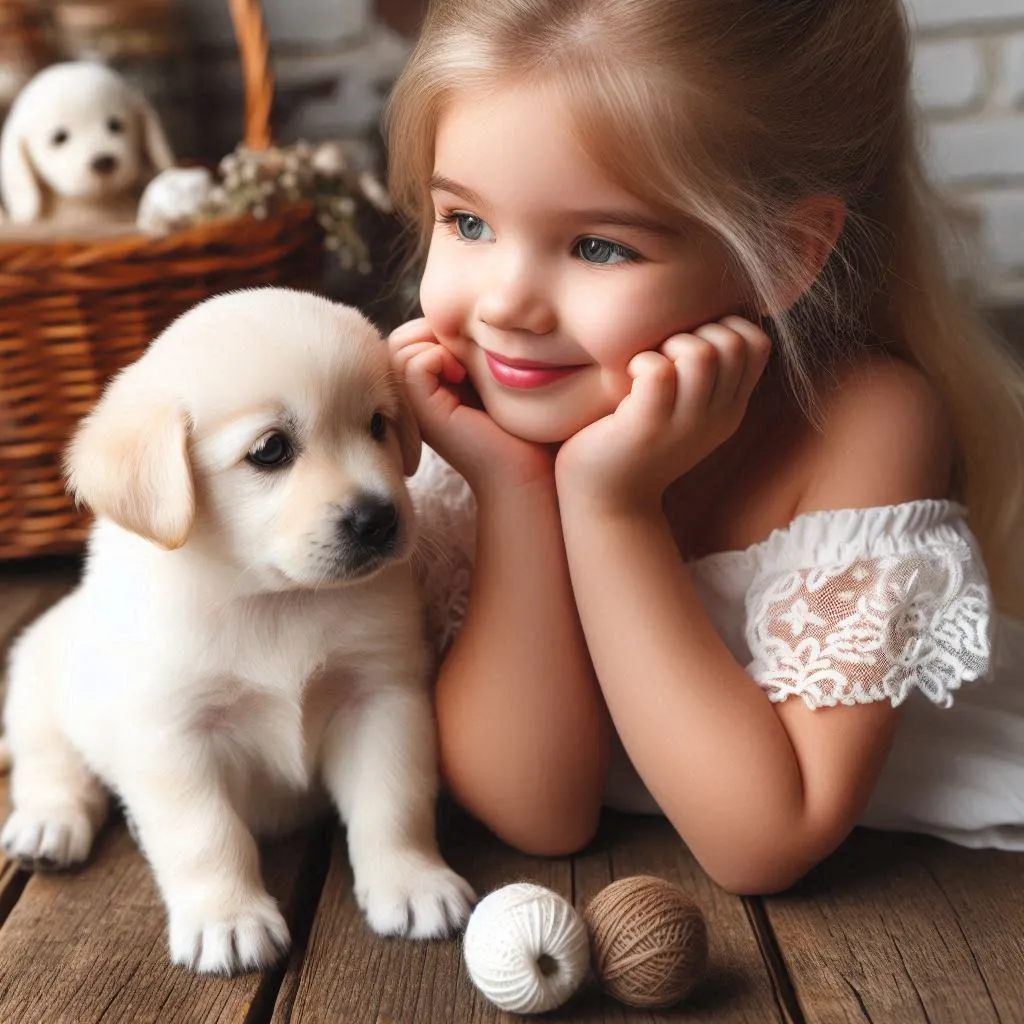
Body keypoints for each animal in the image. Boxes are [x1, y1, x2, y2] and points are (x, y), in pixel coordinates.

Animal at [1, 288, 475, 974]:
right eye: (270, 450)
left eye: (378, 425)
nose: (380, 519)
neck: (273, 600)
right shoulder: (172, 734)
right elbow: (205, 834)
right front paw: (226, 918)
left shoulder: (381, 698)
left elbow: (393, 802)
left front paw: (412, 882)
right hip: (38, 682)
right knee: (52, 767)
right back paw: (47, 824)